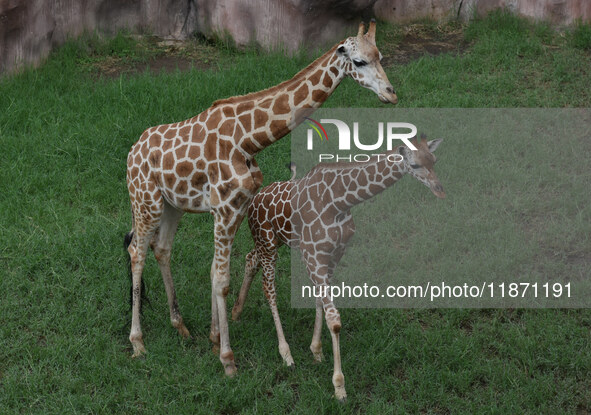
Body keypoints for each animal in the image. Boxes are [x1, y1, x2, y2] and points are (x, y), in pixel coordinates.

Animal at [123, 19, 398, 376]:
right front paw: (227, 359)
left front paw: (214, 338)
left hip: (172, 205)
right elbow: (221, 278)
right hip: (146, 201)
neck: (249, 139)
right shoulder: (224, 207)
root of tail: (131, 153)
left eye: (381, 56)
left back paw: (180, 326)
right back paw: (138, 343)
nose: (391, 94)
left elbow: (218, 272)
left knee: (162, 248)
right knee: (136, 251)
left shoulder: (236, 207)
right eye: (360, 61)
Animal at [231, 136, 444, 400]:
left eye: (434, 159)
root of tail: (253, 203)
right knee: (269, 289)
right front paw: (339, 387)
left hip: (270, 241)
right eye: (414, 165)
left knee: (250, 259)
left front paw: (316, 351)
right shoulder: (314, 254)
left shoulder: (331, 254)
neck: (340, 201)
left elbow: (319, 302)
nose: (439, 189)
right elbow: (334, 318)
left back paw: (235, 313)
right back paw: (286, 354)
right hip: (268, 242)